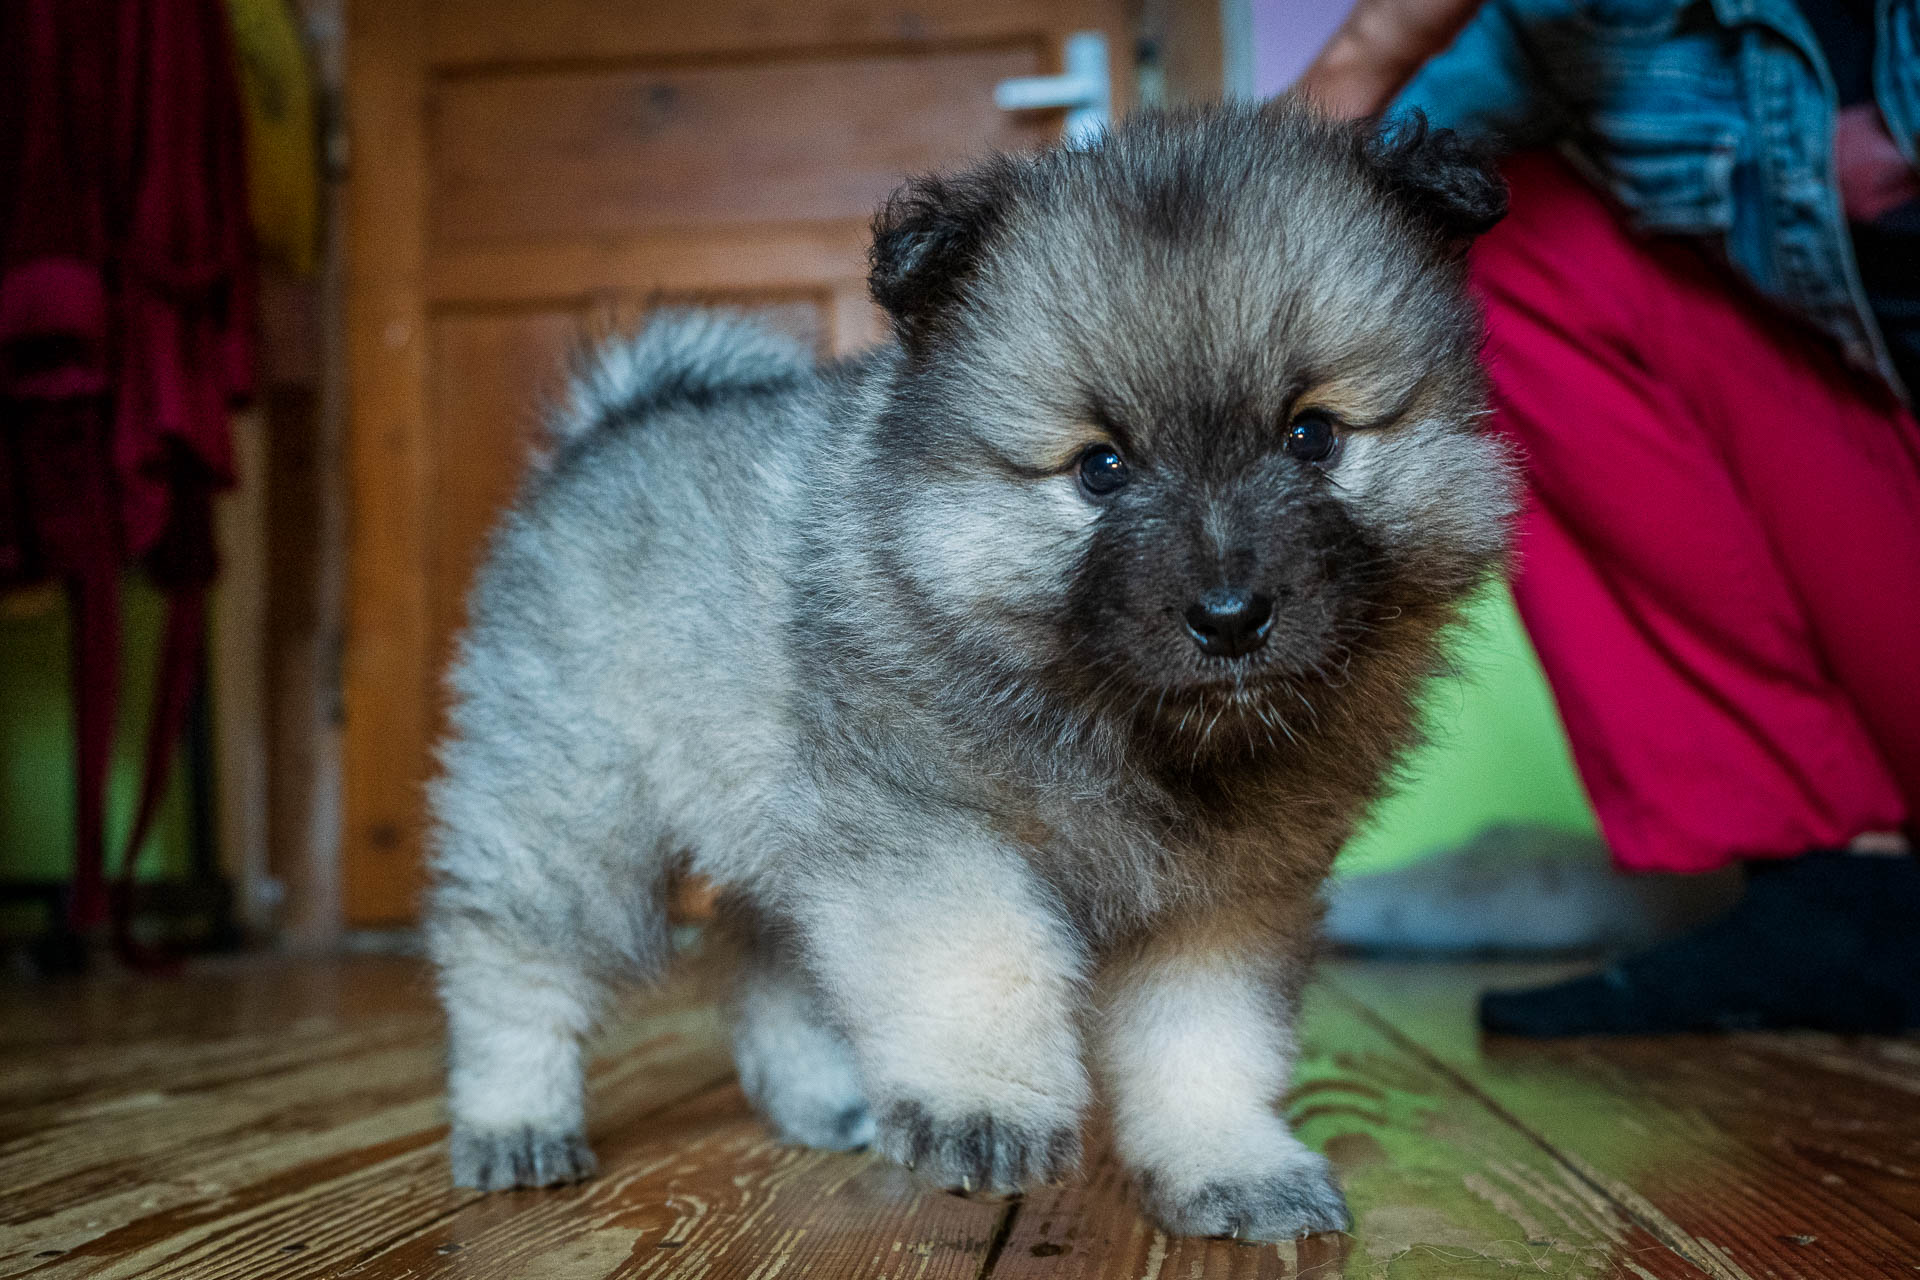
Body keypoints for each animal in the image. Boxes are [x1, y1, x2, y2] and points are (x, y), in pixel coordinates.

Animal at [432, 105, 1512, 1243]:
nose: (1230, 619)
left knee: (766, 956)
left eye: (1313, 435)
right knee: (510, 954)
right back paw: (514, 1117)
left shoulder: (1223, 899)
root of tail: (608, 429)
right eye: (1100, 468)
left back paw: (818, 1099)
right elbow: (984, 961)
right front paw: (983, 1108)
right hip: (570, 809)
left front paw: (1231, 1163)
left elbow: (1207, 1041)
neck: (1124, 725)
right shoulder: (934, 831)